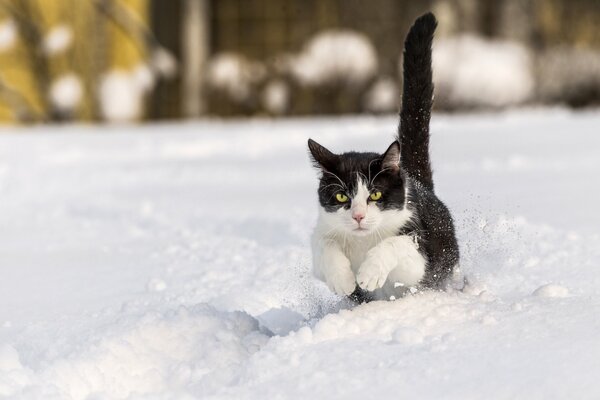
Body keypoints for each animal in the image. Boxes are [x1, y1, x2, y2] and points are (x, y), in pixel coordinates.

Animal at [308, 11, 458, 304]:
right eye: (341, 196)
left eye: (375, 194)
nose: (358, 216)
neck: (362, 241)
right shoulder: (322, 231)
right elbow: (325, 246)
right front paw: (344, 280)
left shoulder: (418, 252)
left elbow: (395, 244)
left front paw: (369, 273)